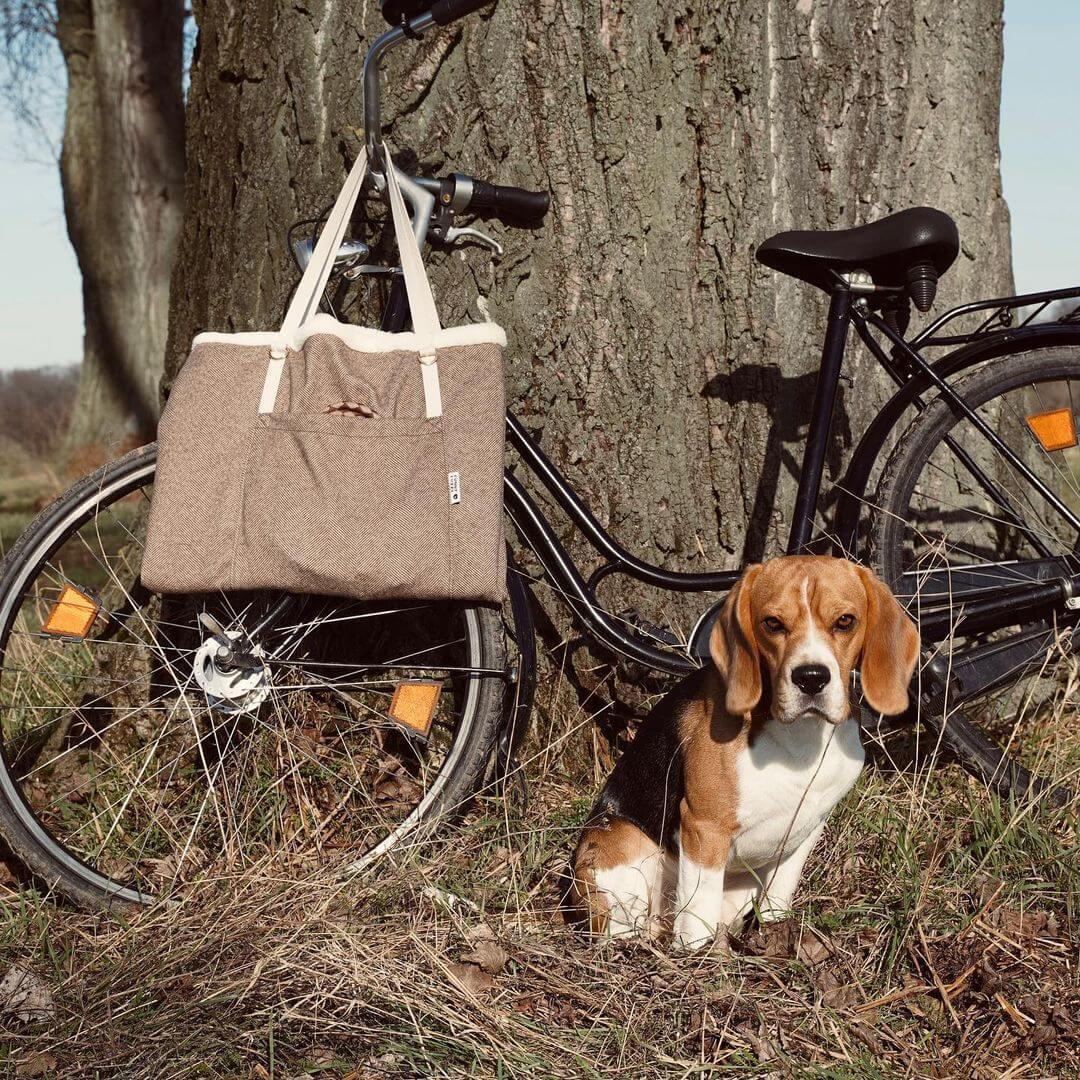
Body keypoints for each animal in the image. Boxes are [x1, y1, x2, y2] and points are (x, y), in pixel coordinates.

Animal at [570, 557, 915, 954]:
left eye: (845, 621)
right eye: (772, 623)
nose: (811, 678)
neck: (798, 739)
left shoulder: (808, 828)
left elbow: (779, 895)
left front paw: (774, 935)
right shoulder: (704, 828)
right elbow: (697, 916)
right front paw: (698, 959)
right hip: (623, 845)